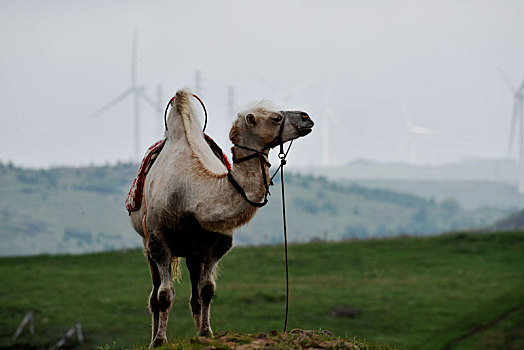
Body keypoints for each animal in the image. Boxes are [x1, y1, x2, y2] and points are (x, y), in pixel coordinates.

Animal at [128, 88, 314, 348]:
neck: (190, 194)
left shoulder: (219, 242)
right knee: (155, 294)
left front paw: (207, 333)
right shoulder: (158, 238)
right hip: (148, 244)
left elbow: (207, 289)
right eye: (276, 118)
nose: (307, 117)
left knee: (195, 293)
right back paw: (154, 337)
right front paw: (160, 340)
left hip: (194, 252)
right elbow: (164, 295)